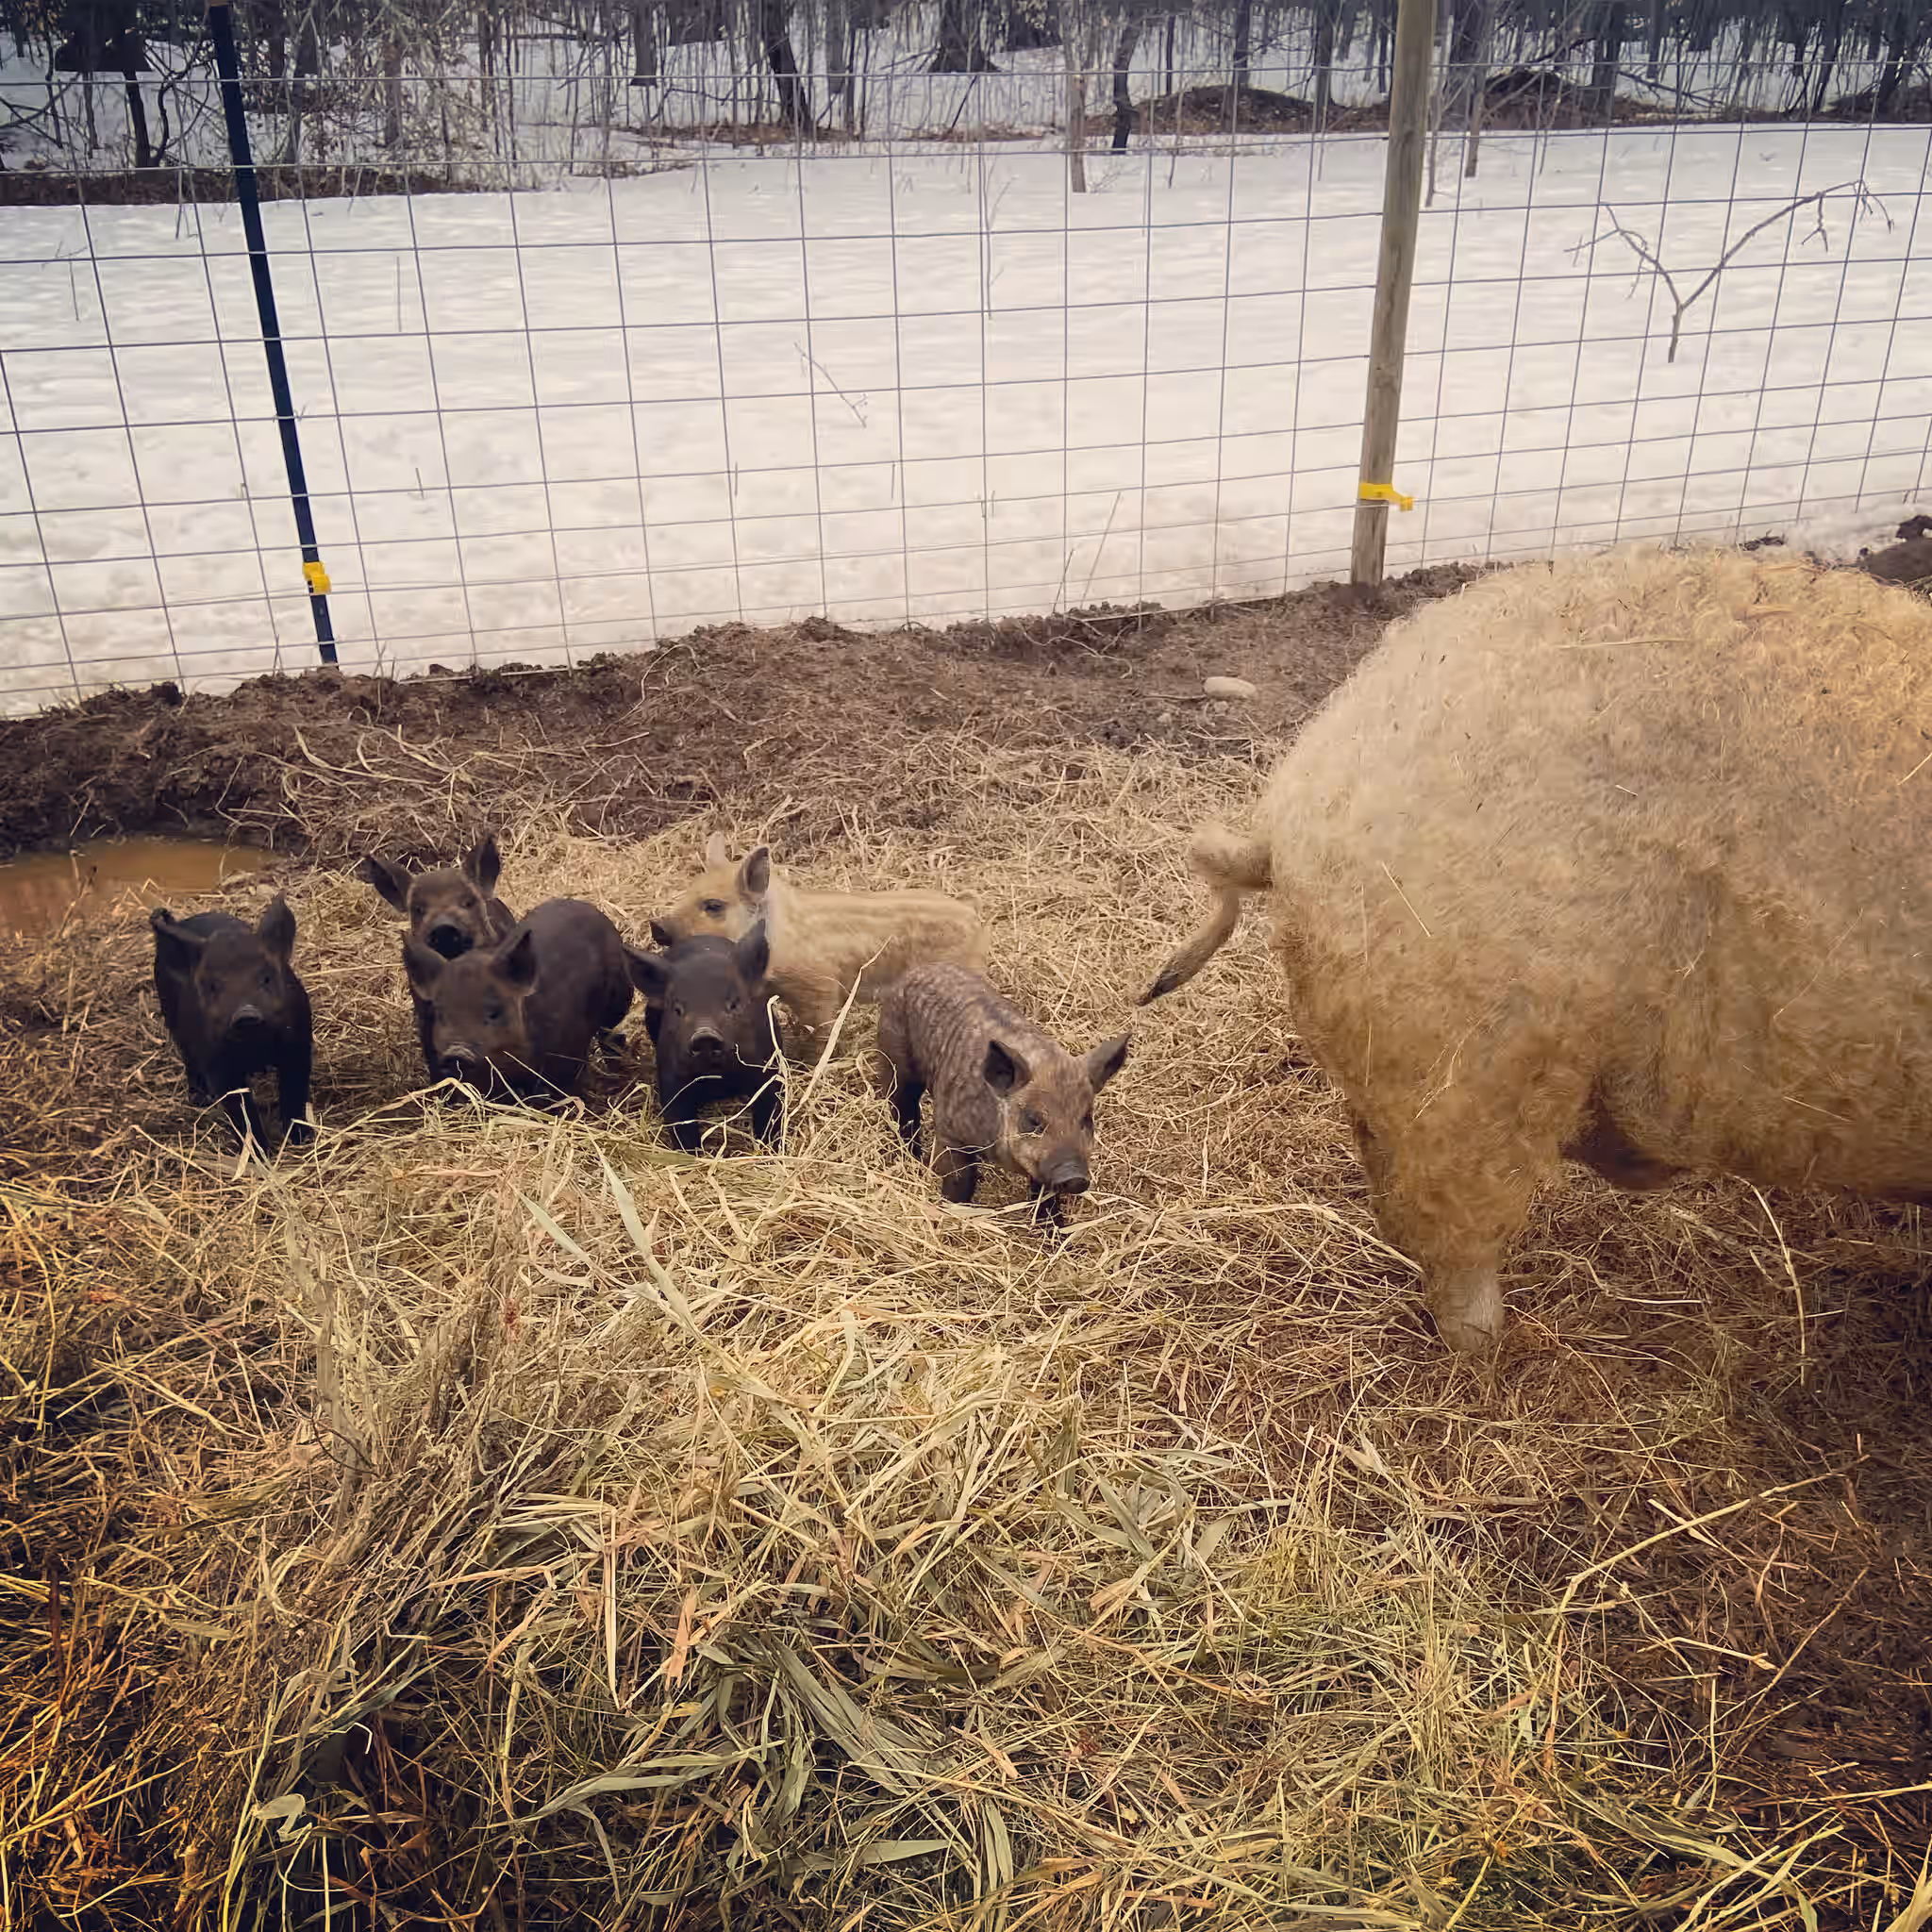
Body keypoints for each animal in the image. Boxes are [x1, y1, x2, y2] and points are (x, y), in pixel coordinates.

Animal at [150, 897, 314, 1151]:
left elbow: (294, 1093)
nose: (245, 1014)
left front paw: (302, 1140)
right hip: (171, 1017)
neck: (256, 1049)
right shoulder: (217, 1064)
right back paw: (199, 1099)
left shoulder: (299, 1045)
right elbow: (240, 1109)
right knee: (188, 1057)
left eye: (266, 978)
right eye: (212, 985)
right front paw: (261, 1153)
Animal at [625, 923, 782, 1153]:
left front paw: (770, 1152)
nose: (705, 1036)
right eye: (677, 1009)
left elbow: (771, 1116)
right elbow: (681, 1127)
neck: (719, 1081)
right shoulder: (671, 1083)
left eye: (734, 1004)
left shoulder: (770, 1072)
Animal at [655, 834, 988, 1056]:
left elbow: (821, 1031)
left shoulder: (820, 986)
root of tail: (970, 909)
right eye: (688, 892)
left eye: (713, 906)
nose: (657, 925)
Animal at [875, 963, 1130, 1224]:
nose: (1075, 1176)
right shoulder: (951, 1132)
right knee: (901, 1106)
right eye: (1033, 1121)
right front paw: (953, 1211)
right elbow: (959, 1179)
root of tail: (919, 968)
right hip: (894, 1059)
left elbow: (1044, 1197)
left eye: (1086, 1119)